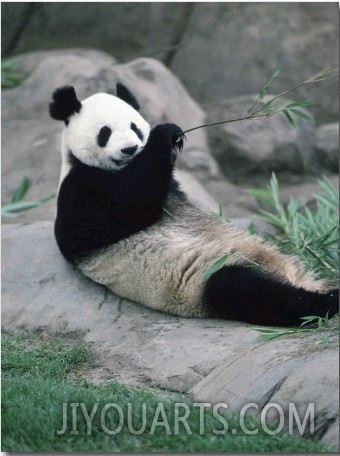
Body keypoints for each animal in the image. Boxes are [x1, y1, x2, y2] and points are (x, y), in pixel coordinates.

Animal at [49, 83, 338, 326]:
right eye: (105, 132)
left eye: (134, 127)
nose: (130, 149)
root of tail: (291, 275)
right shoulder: (79, 190)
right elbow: (116, 214)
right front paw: (164, 136)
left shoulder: (173, 190)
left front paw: (173, 137)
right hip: (205, 279)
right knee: (251, 292)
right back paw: (328, 302)